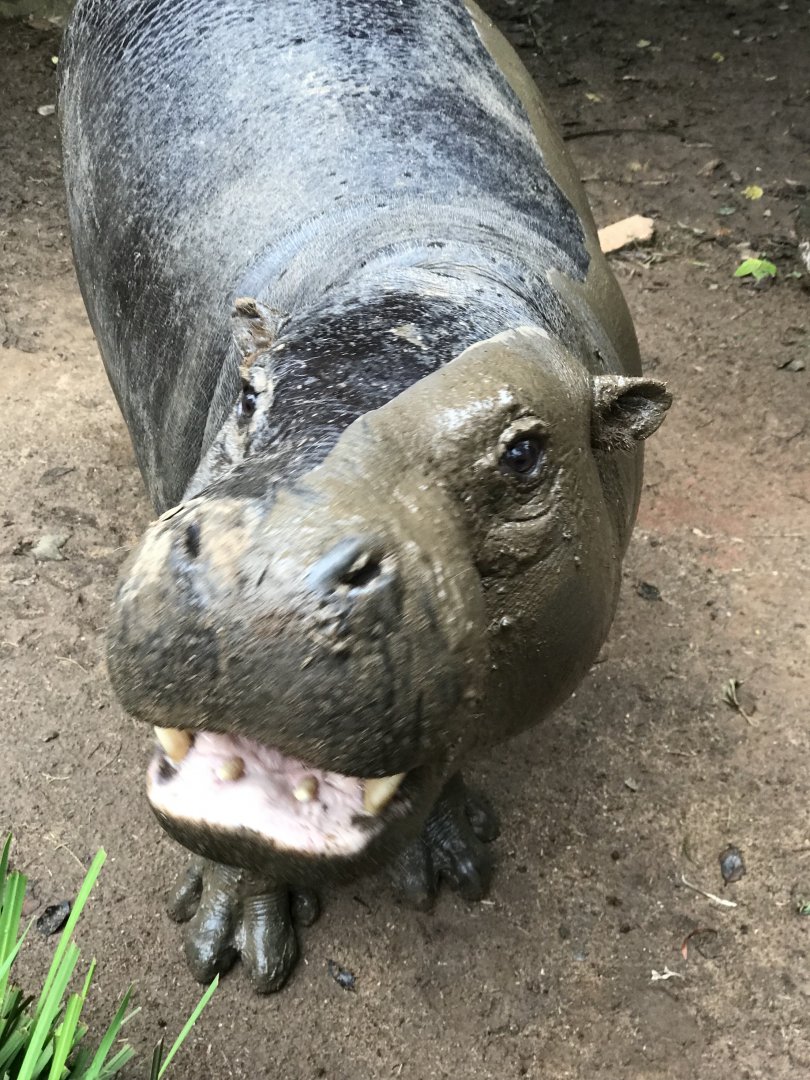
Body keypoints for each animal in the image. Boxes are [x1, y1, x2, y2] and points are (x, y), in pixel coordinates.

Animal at [59, 0, 671, 992]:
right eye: (249, 393)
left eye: (526, 453)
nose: (259, 571)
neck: (420, 279)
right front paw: (233, 941)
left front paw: (453, 860)